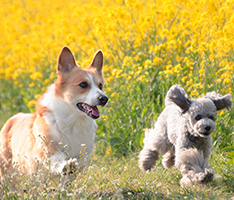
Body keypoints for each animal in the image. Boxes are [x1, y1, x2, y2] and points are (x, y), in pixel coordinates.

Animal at [0, 46, 108, 184]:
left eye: (100, 86)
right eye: (83, 84)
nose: (104, 98)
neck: (73, 119)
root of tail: (12, 118)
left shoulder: (84, 150)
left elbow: (79, 163)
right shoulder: (46, 145)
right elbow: (58, 157)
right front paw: (67, 165)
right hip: (7, 169)